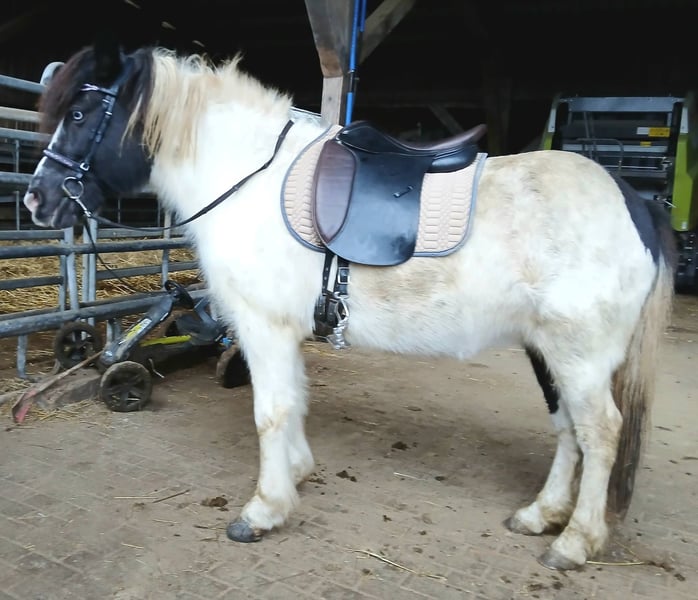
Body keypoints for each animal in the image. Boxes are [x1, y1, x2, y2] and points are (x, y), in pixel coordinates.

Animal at [23, 39, 676, 571]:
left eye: (79, 114)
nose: (36, 200)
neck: (247, 177)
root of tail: (634, 205)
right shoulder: (281, 333)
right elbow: (293, 401)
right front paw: (296, 473)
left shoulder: (262, 327)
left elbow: (271, 411)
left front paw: (264, 509)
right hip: (549, 353)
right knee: (569, 430)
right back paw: (541, 515)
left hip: (579, 356)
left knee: (600, 432)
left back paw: (574, 542)